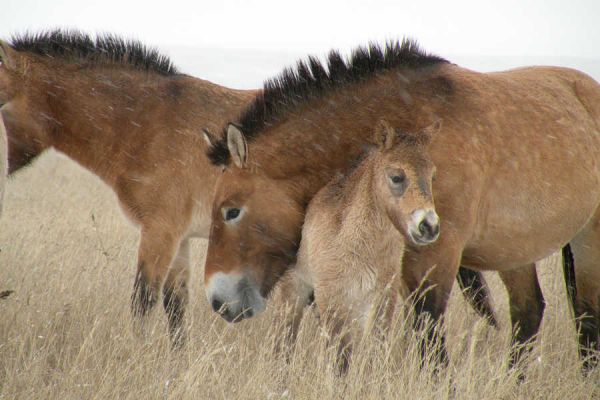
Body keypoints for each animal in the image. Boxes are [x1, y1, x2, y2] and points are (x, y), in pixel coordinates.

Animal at [276, 119, 440, 372]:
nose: (429, 226)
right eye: (396, 176)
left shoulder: (381, 298)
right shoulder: (332, 297)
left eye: (432, 177)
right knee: (284, 341)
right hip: (294, 293)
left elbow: (375, 350)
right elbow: (341, 357)